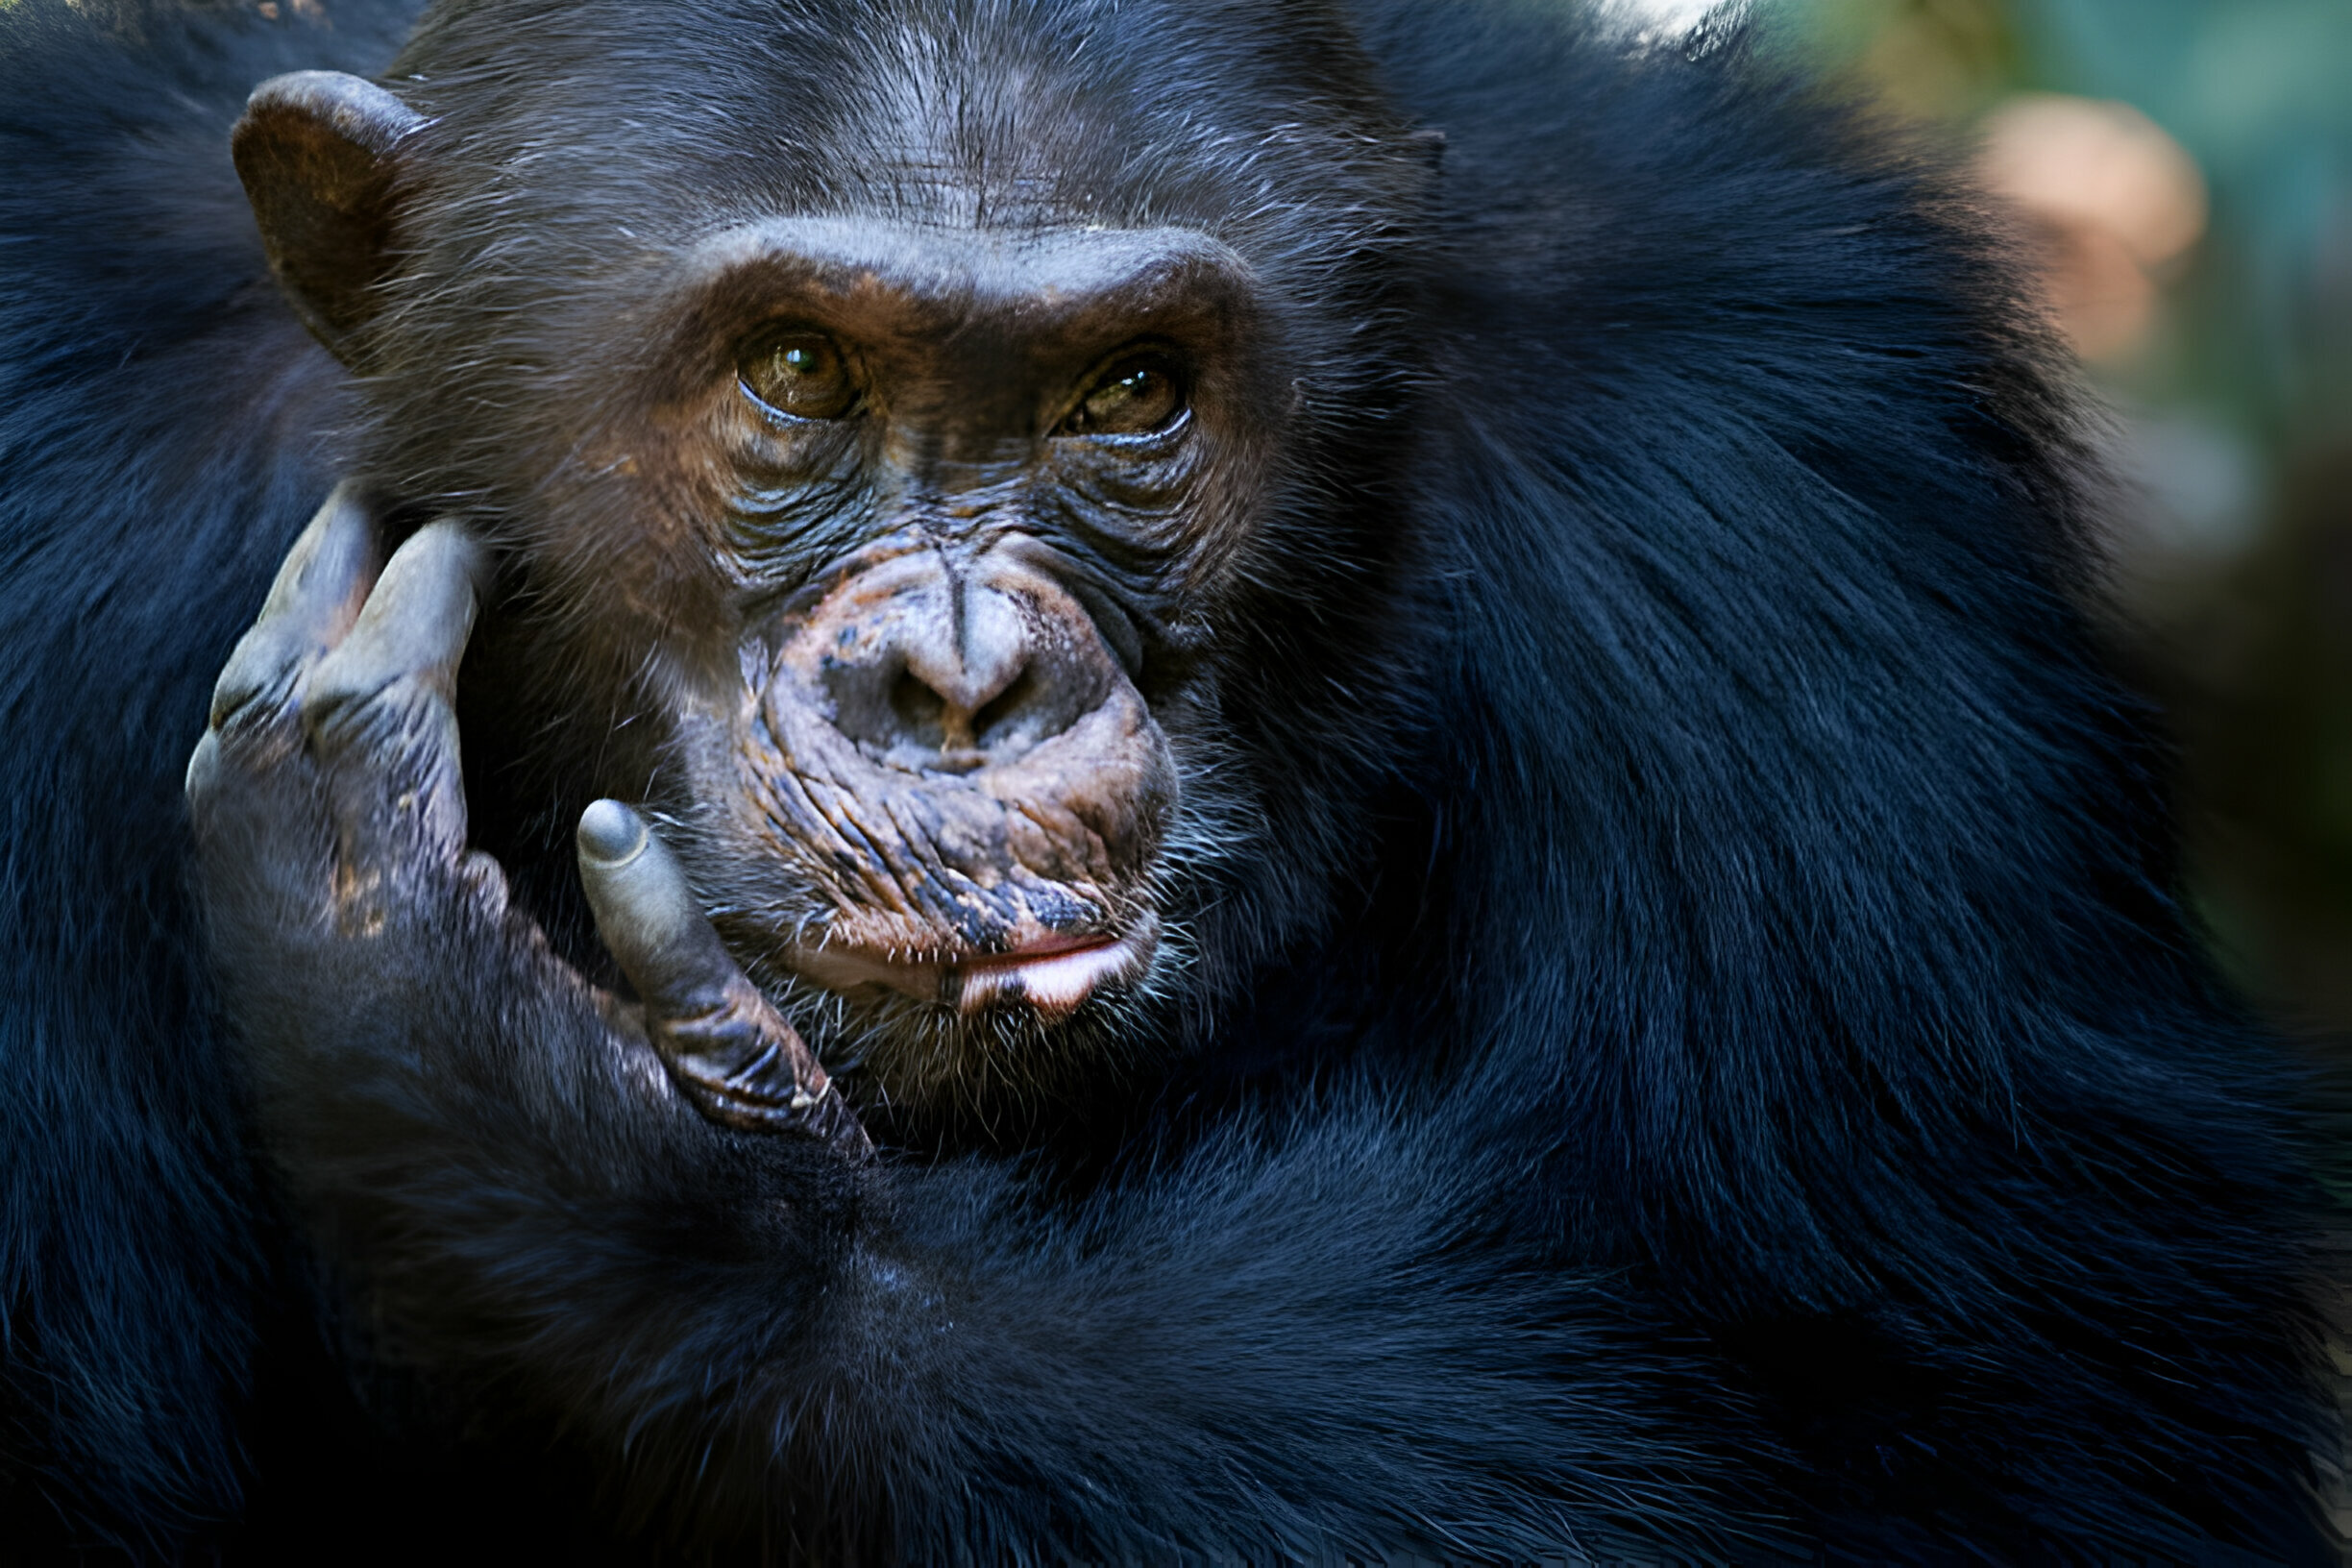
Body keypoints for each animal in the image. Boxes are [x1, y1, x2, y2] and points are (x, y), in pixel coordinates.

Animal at [0, 0, 2342, 1560]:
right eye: (793, 368)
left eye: (1130, 393)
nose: (963, 677)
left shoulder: (1792, 469)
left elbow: (1983, 1452)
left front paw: (589, 1150)